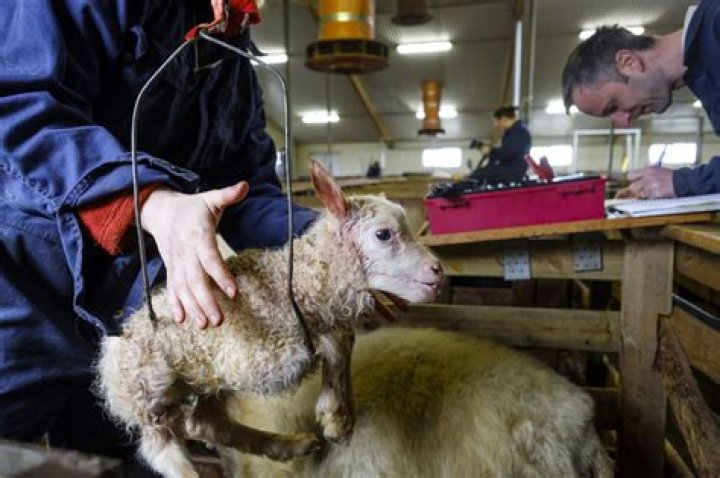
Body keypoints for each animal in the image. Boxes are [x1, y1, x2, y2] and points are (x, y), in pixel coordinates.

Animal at [95, 160, 444, 478]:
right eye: (383, 234)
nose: (437, 271)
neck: (299, 281)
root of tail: (110, 356)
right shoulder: (259, 354)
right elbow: (339, 340)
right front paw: (336, 418)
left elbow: (344, 337)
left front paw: (343, 418)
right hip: (150, 394)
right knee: (163, 451)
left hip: (202, 382)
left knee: (207, 425)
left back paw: (292, 446)